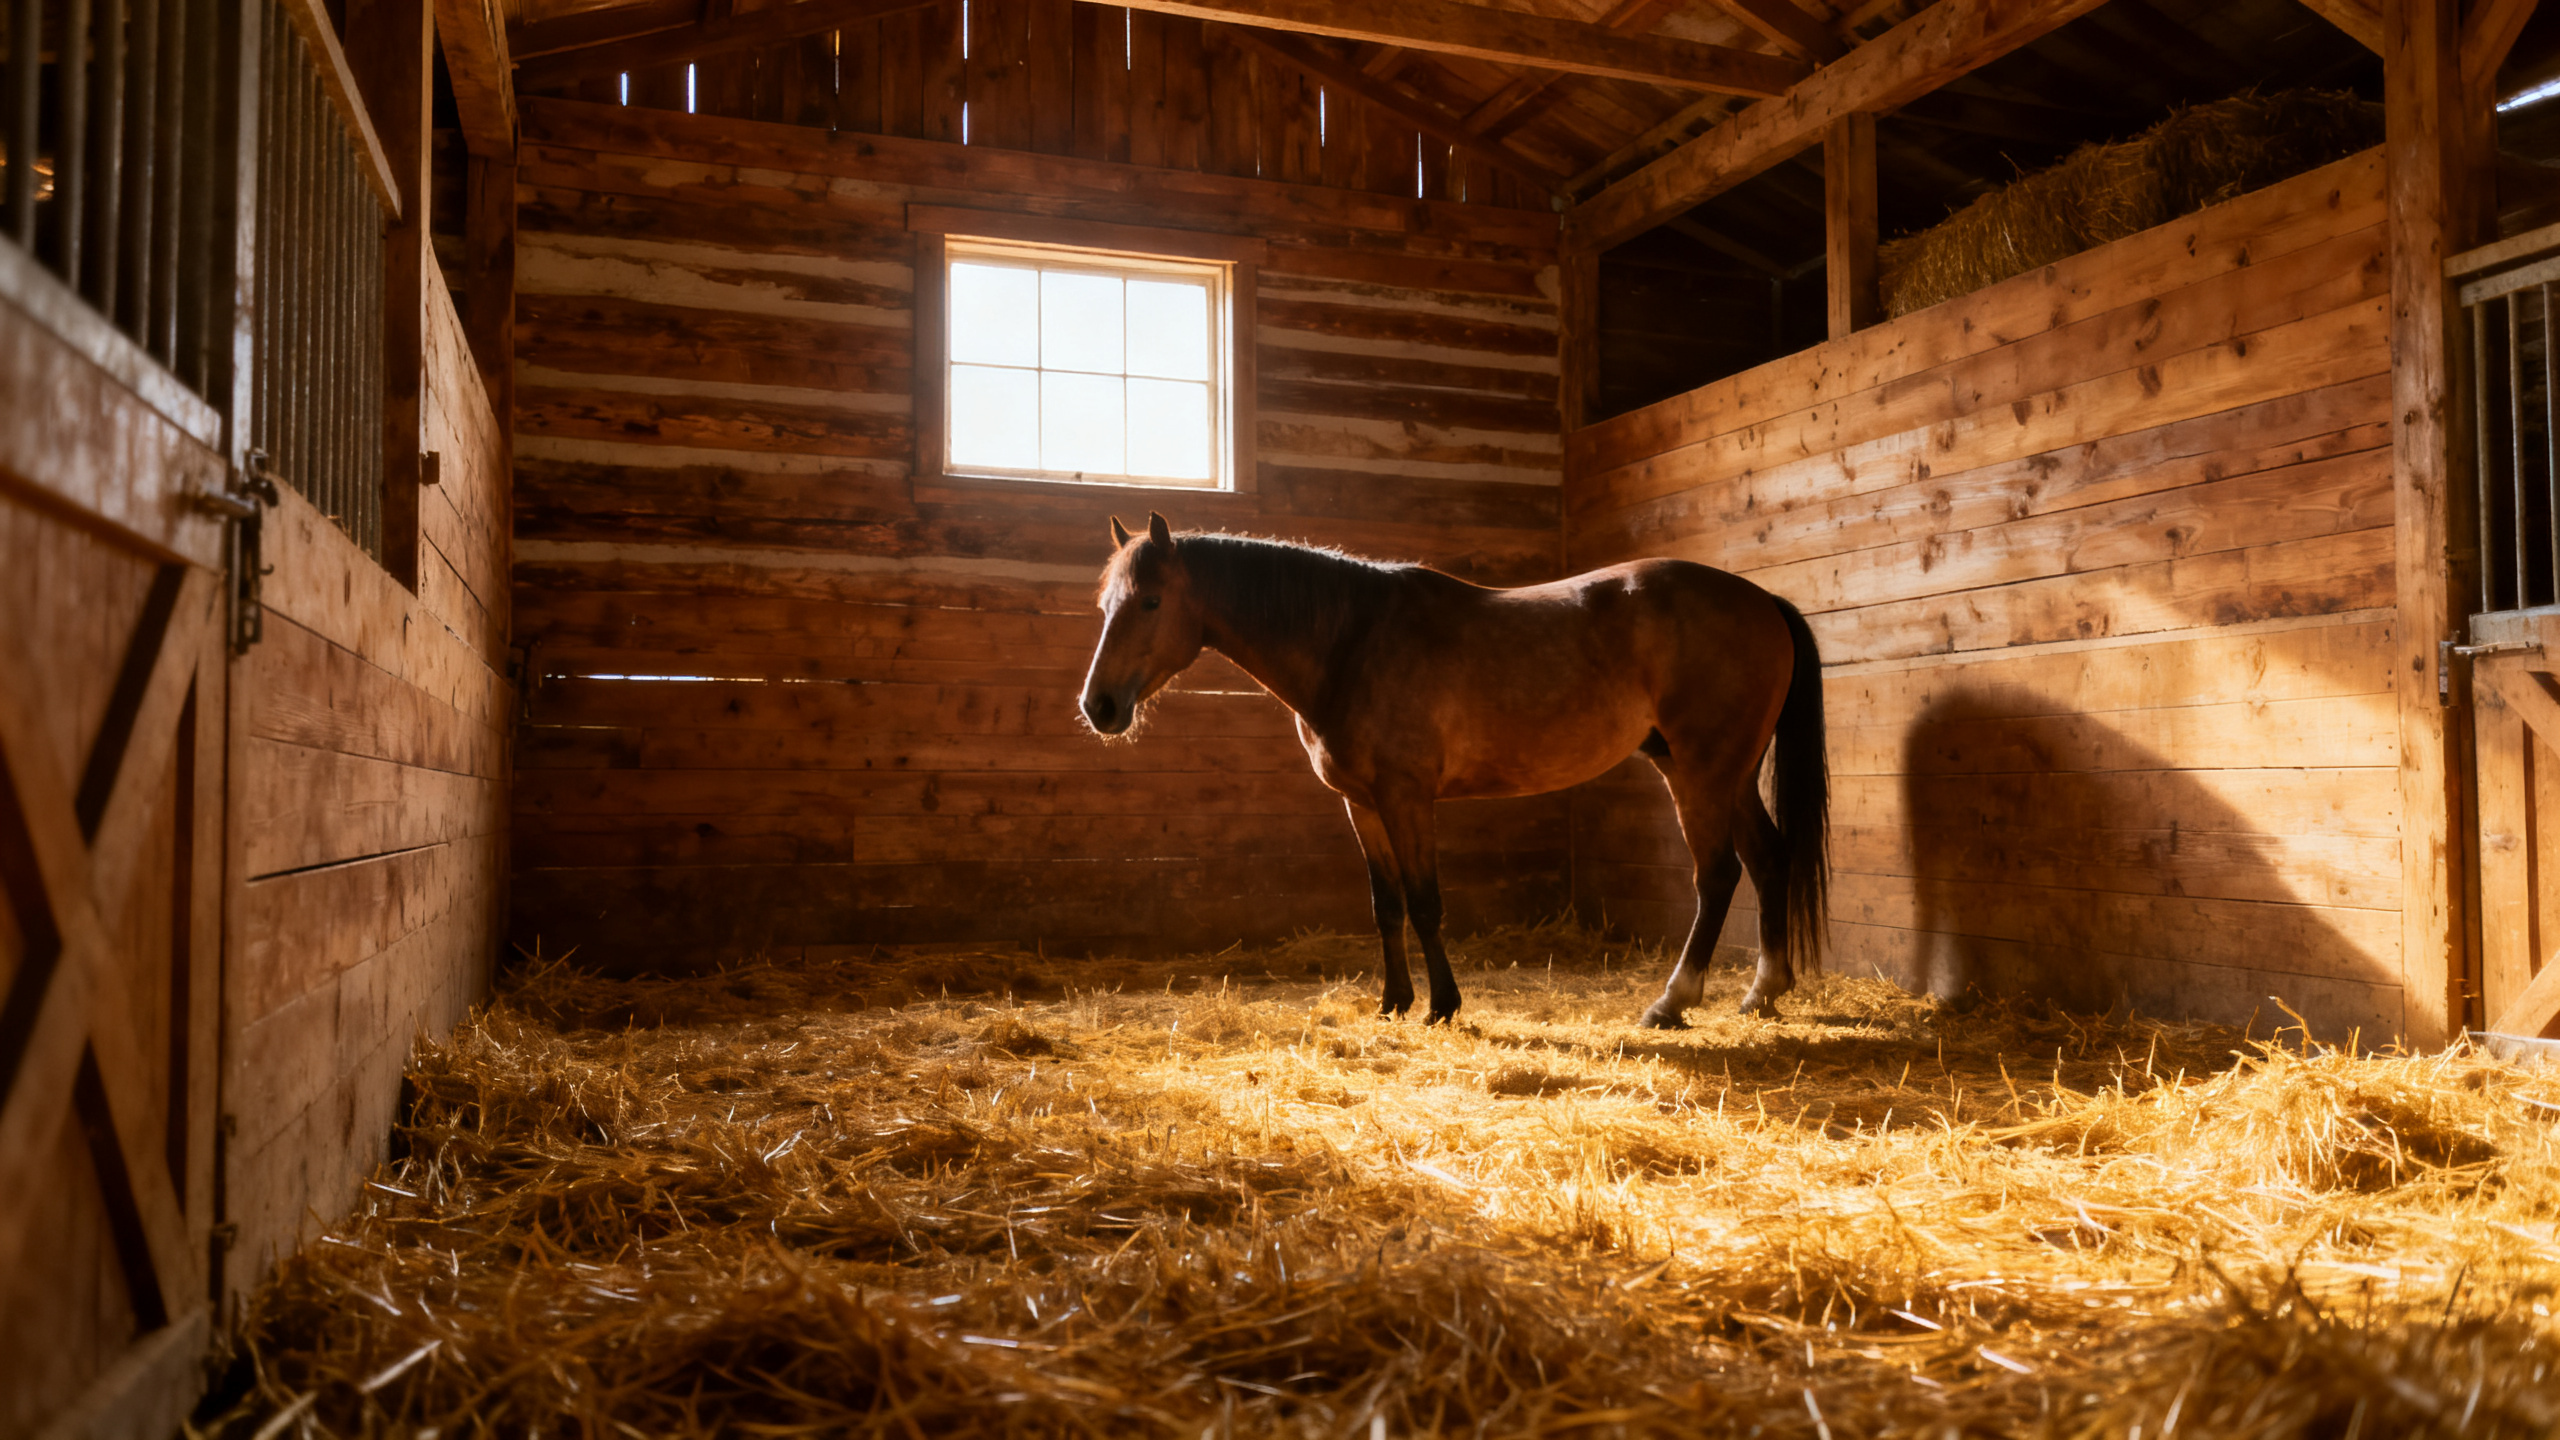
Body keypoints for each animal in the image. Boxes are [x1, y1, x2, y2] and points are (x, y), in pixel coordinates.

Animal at [1078, 513, 1827, 1029]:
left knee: (1719, 874)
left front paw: (1442, 1005)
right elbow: (1385, 905)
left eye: (1150, 602)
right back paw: (1763, 992)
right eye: (1104, 605)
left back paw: (1672, 1003)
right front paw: (1393, 1002)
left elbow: (1425, 902)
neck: (1350, 641)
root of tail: (1763, 602)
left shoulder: (1408, 798)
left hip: (1703, 770)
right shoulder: (1362, 804)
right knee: (1768, 859)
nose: (1099, 706)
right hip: (1724, 773)